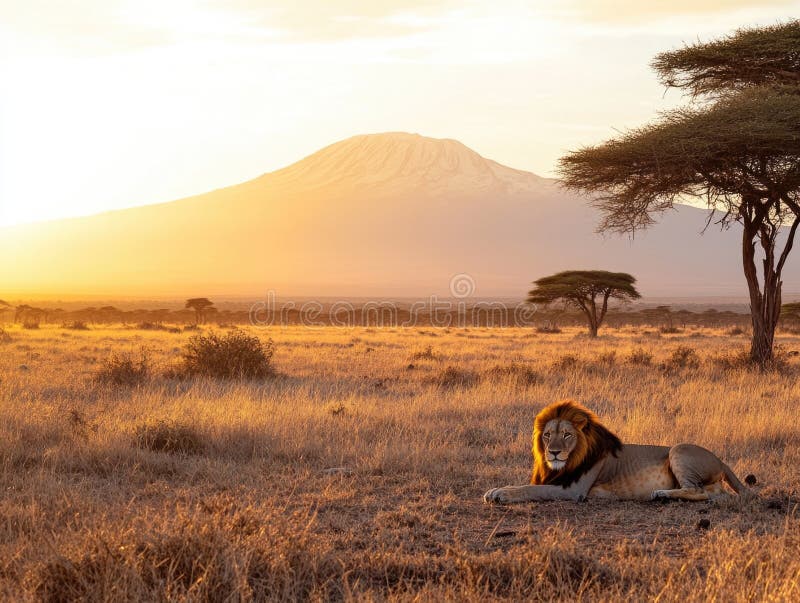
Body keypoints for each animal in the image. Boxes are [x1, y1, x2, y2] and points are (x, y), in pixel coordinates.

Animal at [484, 399, 750, 504]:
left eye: (567, 435)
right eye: (547, 435)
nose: (554, 452)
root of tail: (721, 461)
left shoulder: (573, 490)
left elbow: (532, 489)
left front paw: (502, 494)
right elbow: (522, 484)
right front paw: (494, 490)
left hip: (678, 449)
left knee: (696, 490)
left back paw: (660, 494)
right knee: (713, 493)